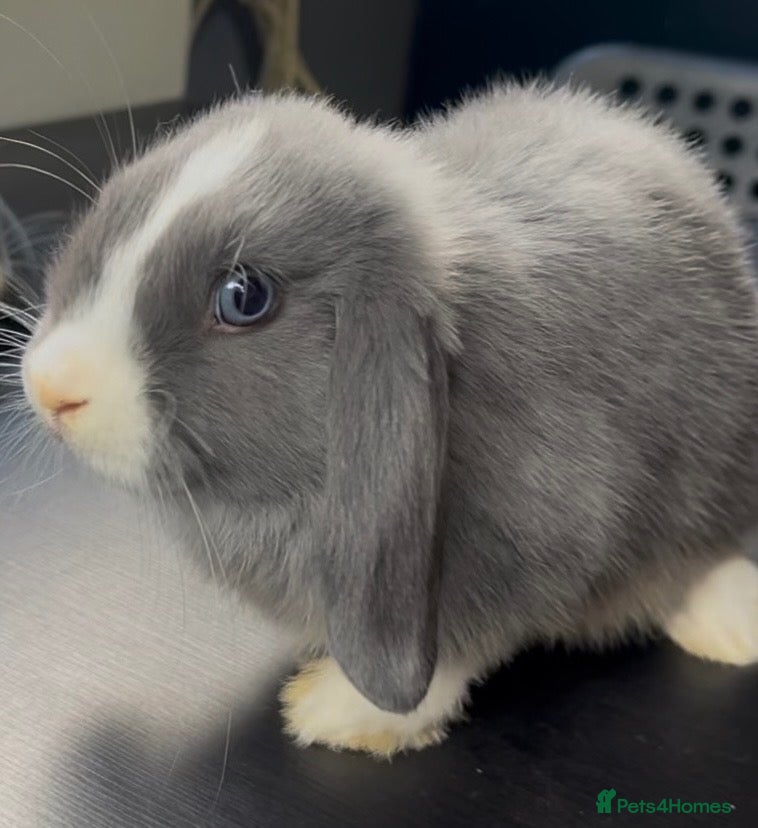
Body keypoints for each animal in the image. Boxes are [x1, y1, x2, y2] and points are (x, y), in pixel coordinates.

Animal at [20, 81, 758, 758]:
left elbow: (455, 651)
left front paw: (336, 714)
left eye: (244, 297)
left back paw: (729, 631)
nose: (51, 385)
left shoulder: (540, 536)